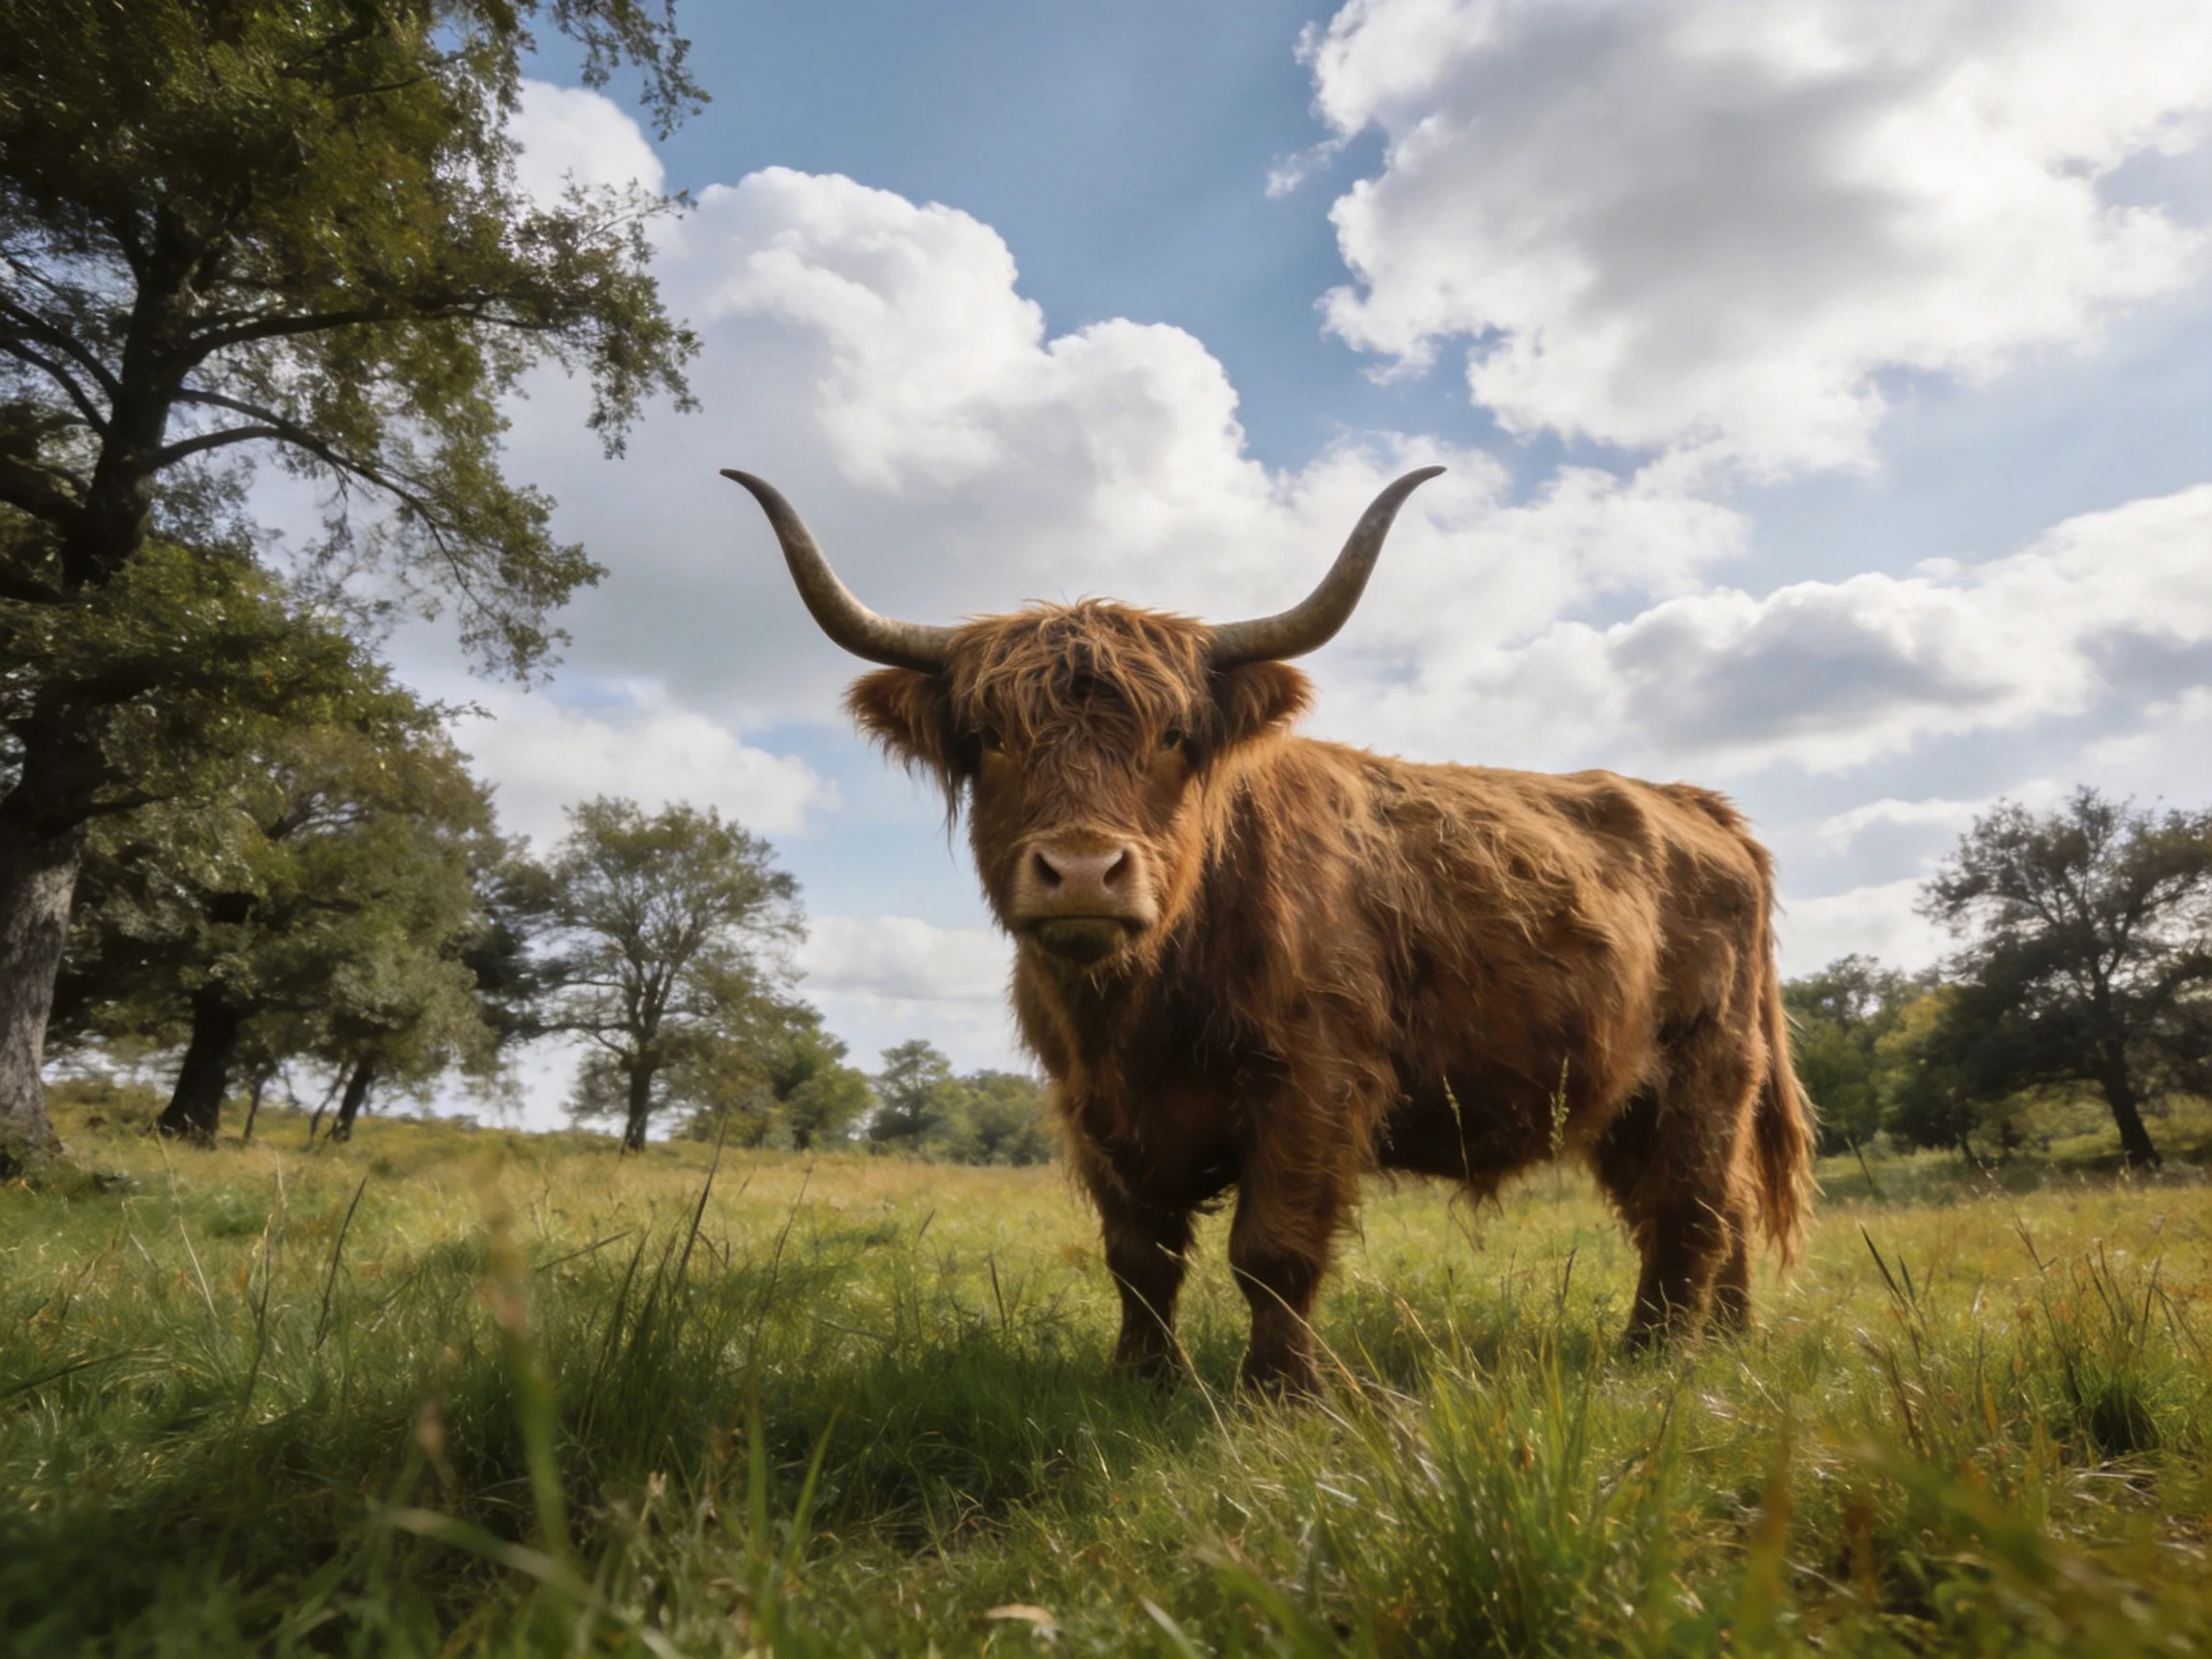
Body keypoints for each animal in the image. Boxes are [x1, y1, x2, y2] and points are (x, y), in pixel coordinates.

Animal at [725, 466, 1815, 1394]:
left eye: (1173, 736)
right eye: (990, 739)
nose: (1082, 869)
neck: (1141, 1008)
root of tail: (1693, 803)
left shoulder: (1313, 1083)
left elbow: (1272, 1251)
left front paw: (1278, 1395)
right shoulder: (1093, 1109)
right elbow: (1139, 1258)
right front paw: (1143, 1382)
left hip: (1703, 1073)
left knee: (1692, 1210)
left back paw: (1652, 1357)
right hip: (1631, 1096)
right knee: (1710, 1213)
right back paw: (1723, 1344)